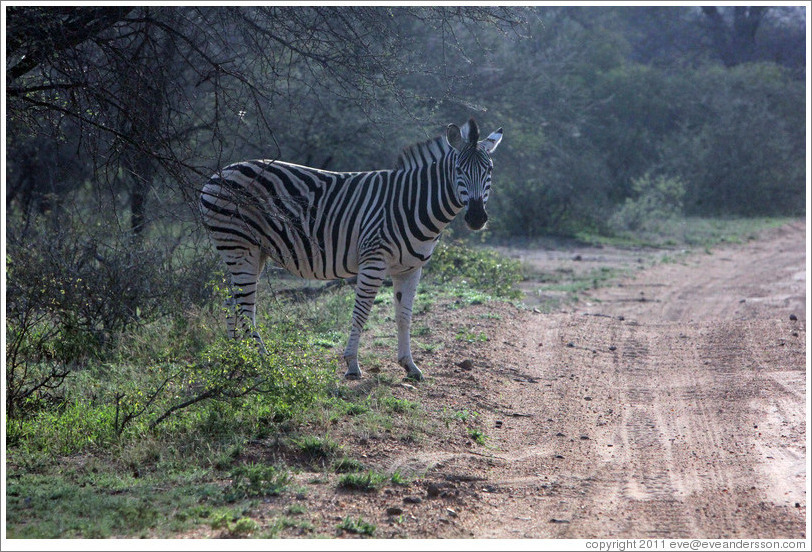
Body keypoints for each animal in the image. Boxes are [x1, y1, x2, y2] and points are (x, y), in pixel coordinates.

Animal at [200, 118, 502, 381]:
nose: (477, 217)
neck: (413, 203)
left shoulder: (410, 268)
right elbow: (362, 311)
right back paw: (262, 362)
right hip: (240, 247)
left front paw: (410, 366)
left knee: (231, 303)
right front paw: (352, 365)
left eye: (489, 171)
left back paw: (236, 359)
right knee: (244, 307)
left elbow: (404, 316)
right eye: (459, 171)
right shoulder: (374, 260)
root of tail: (217, 174)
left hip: (250, 252)